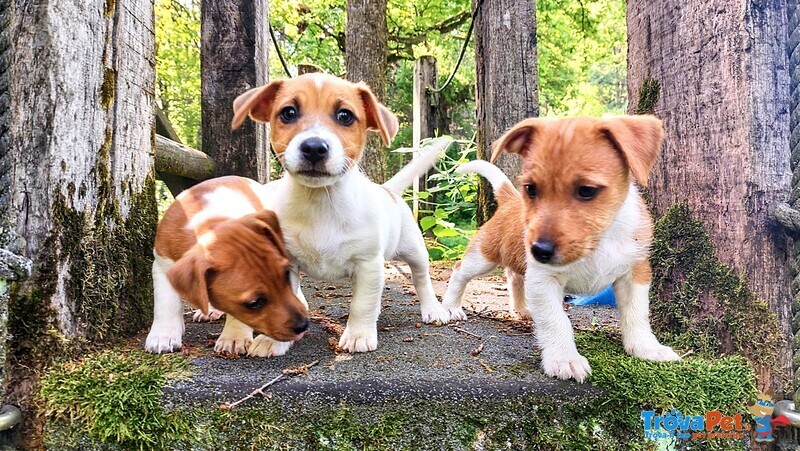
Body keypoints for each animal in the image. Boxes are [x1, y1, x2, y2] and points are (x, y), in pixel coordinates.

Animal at [144, 177, 310, 356]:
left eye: (286, 276)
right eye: (254, 303)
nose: (304, 325)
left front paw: (234, 336)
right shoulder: (162, 264)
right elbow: (166, 303)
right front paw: (163, 335)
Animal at [230, 73, 450, 354]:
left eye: (345, 115)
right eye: (288, 112)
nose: (314, 147)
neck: (321, 201)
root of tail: (387, 190)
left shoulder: (368, 264)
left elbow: (362, 304)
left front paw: (358, 335)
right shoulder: (287, 263)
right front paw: (273, 341)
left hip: (415, 250)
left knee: (421, 279)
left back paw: (433, 309)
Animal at [444, 115, 680, 382]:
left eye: (586, 190)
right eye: (531, 188)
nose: (539, 250)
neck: (600, 241)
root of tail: (509, 200)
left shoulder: (635, 274)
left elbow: (637, 313)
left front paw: (646, 347)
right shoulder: (543, 280)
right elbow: (556, 320)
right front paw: (564, 359)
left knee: (514, 277)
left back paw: (521, 309)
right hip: (483, 256)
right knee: (459, 270)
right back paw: (450, 307)